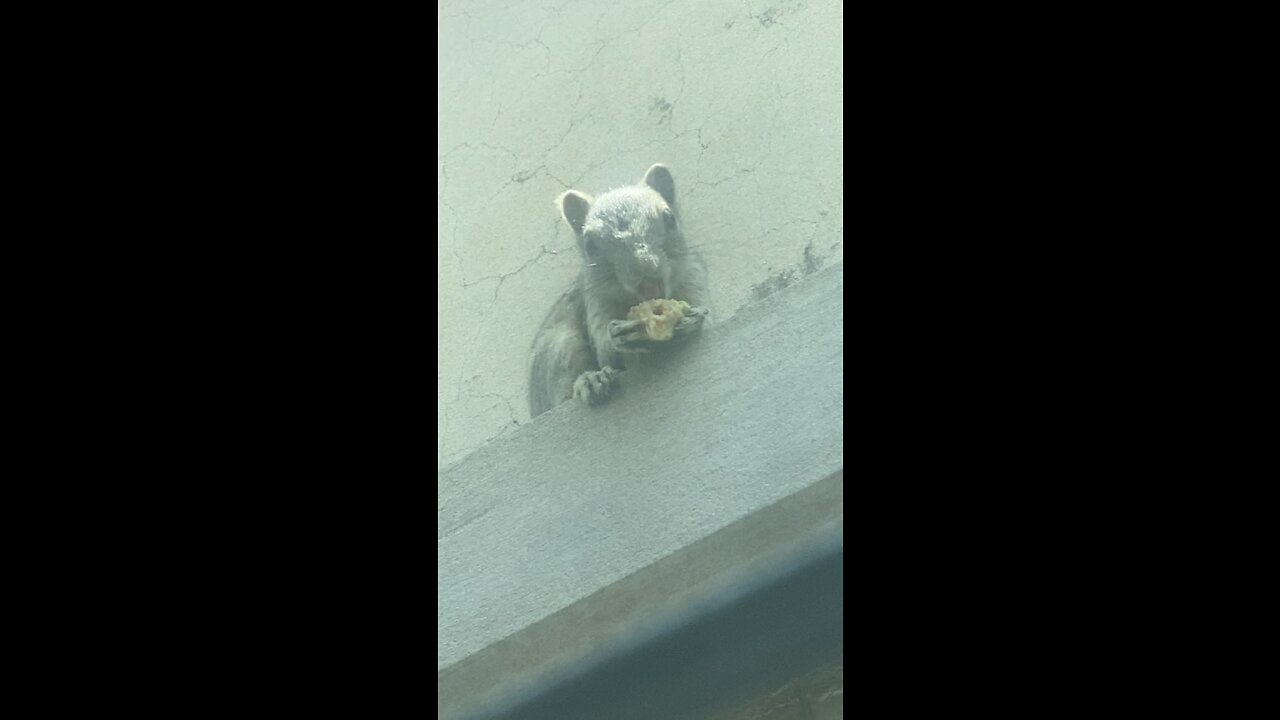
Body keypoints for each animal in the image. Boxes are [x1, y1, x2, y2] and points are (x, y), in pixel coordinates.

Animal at [528, 163, 710, 417]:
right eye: (590, 245)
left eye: (669, 218)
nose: (644, 265)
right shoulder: (596, 300)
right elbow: (607, 351)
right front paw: (620, 336)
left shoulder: (693, 275)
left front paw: (691, 321)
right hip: (558, 347)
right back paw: (589, 381)